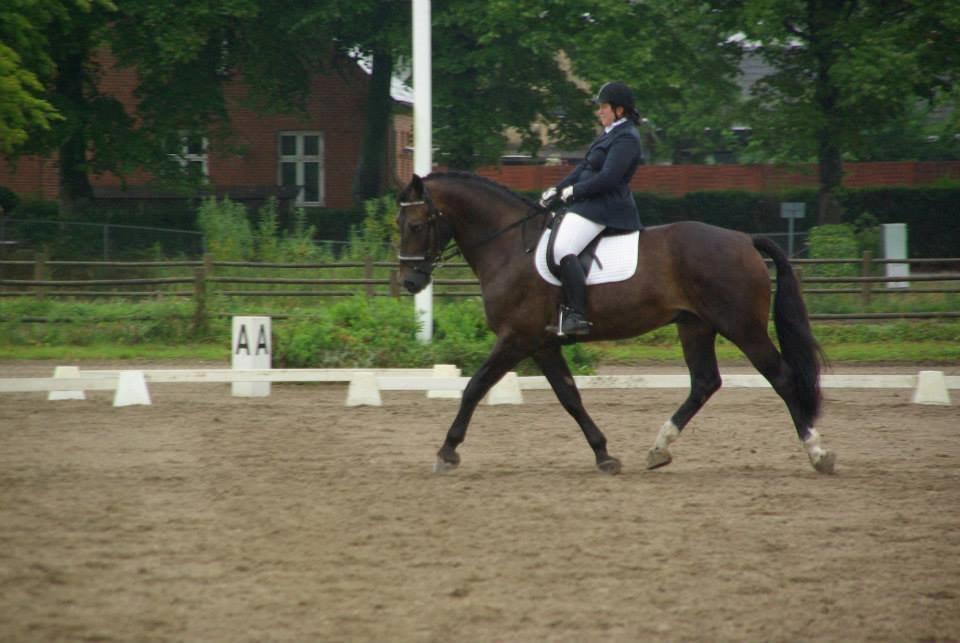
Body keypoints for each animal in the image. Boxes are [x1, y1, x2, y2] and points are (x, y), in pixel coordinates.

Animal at [394, 174, 836, 476]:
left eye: (415, 226)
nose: (410, 283)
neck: (509, 248)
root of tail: (744, 239)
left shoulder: (516, 338)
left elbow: (474, 387)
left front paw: (447, 451)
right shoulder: (542, 344)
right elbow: (570, 397)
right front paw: (604, 454)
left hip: (741, 326)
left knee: (781, 377)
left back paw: (817, 452)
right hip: (695, 326)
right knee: (705, 383)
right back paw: (659, 449)